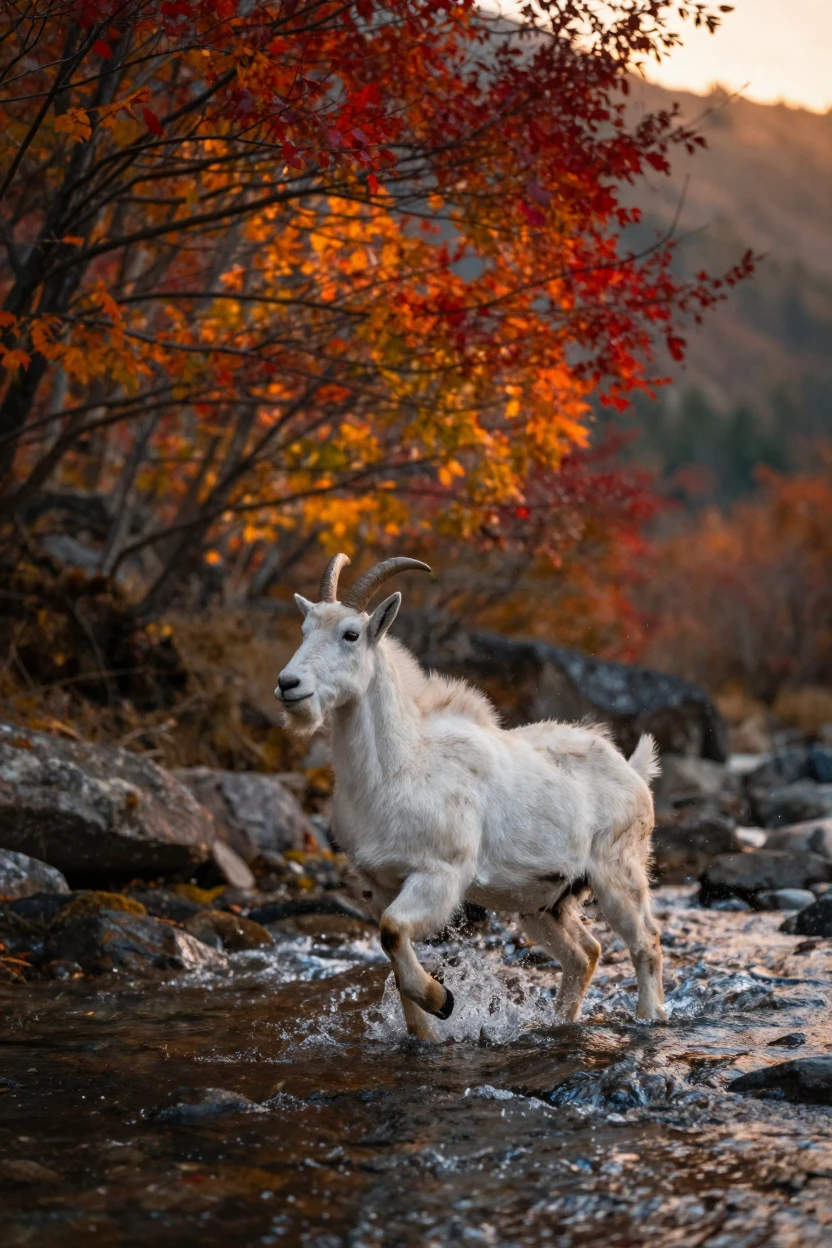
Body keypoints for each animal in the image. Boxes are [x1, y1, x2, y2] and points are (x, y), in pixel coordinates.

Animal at [275, 554, 665, 1041]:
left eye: (350, 634)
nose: (288, 684)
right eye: (304, 630)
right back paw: (559, 1022)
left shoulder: (439, 874)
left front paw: (443, 1000)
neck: (400, 767)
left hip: (619, 871)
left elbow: (392, 932)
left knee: (646, 942)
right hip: (544, 902)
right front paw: (426, 1032)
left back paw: (649, 1019)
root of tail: (633, 771)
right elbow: (391, 948)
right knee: (585, 952)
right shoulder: (380, 885)